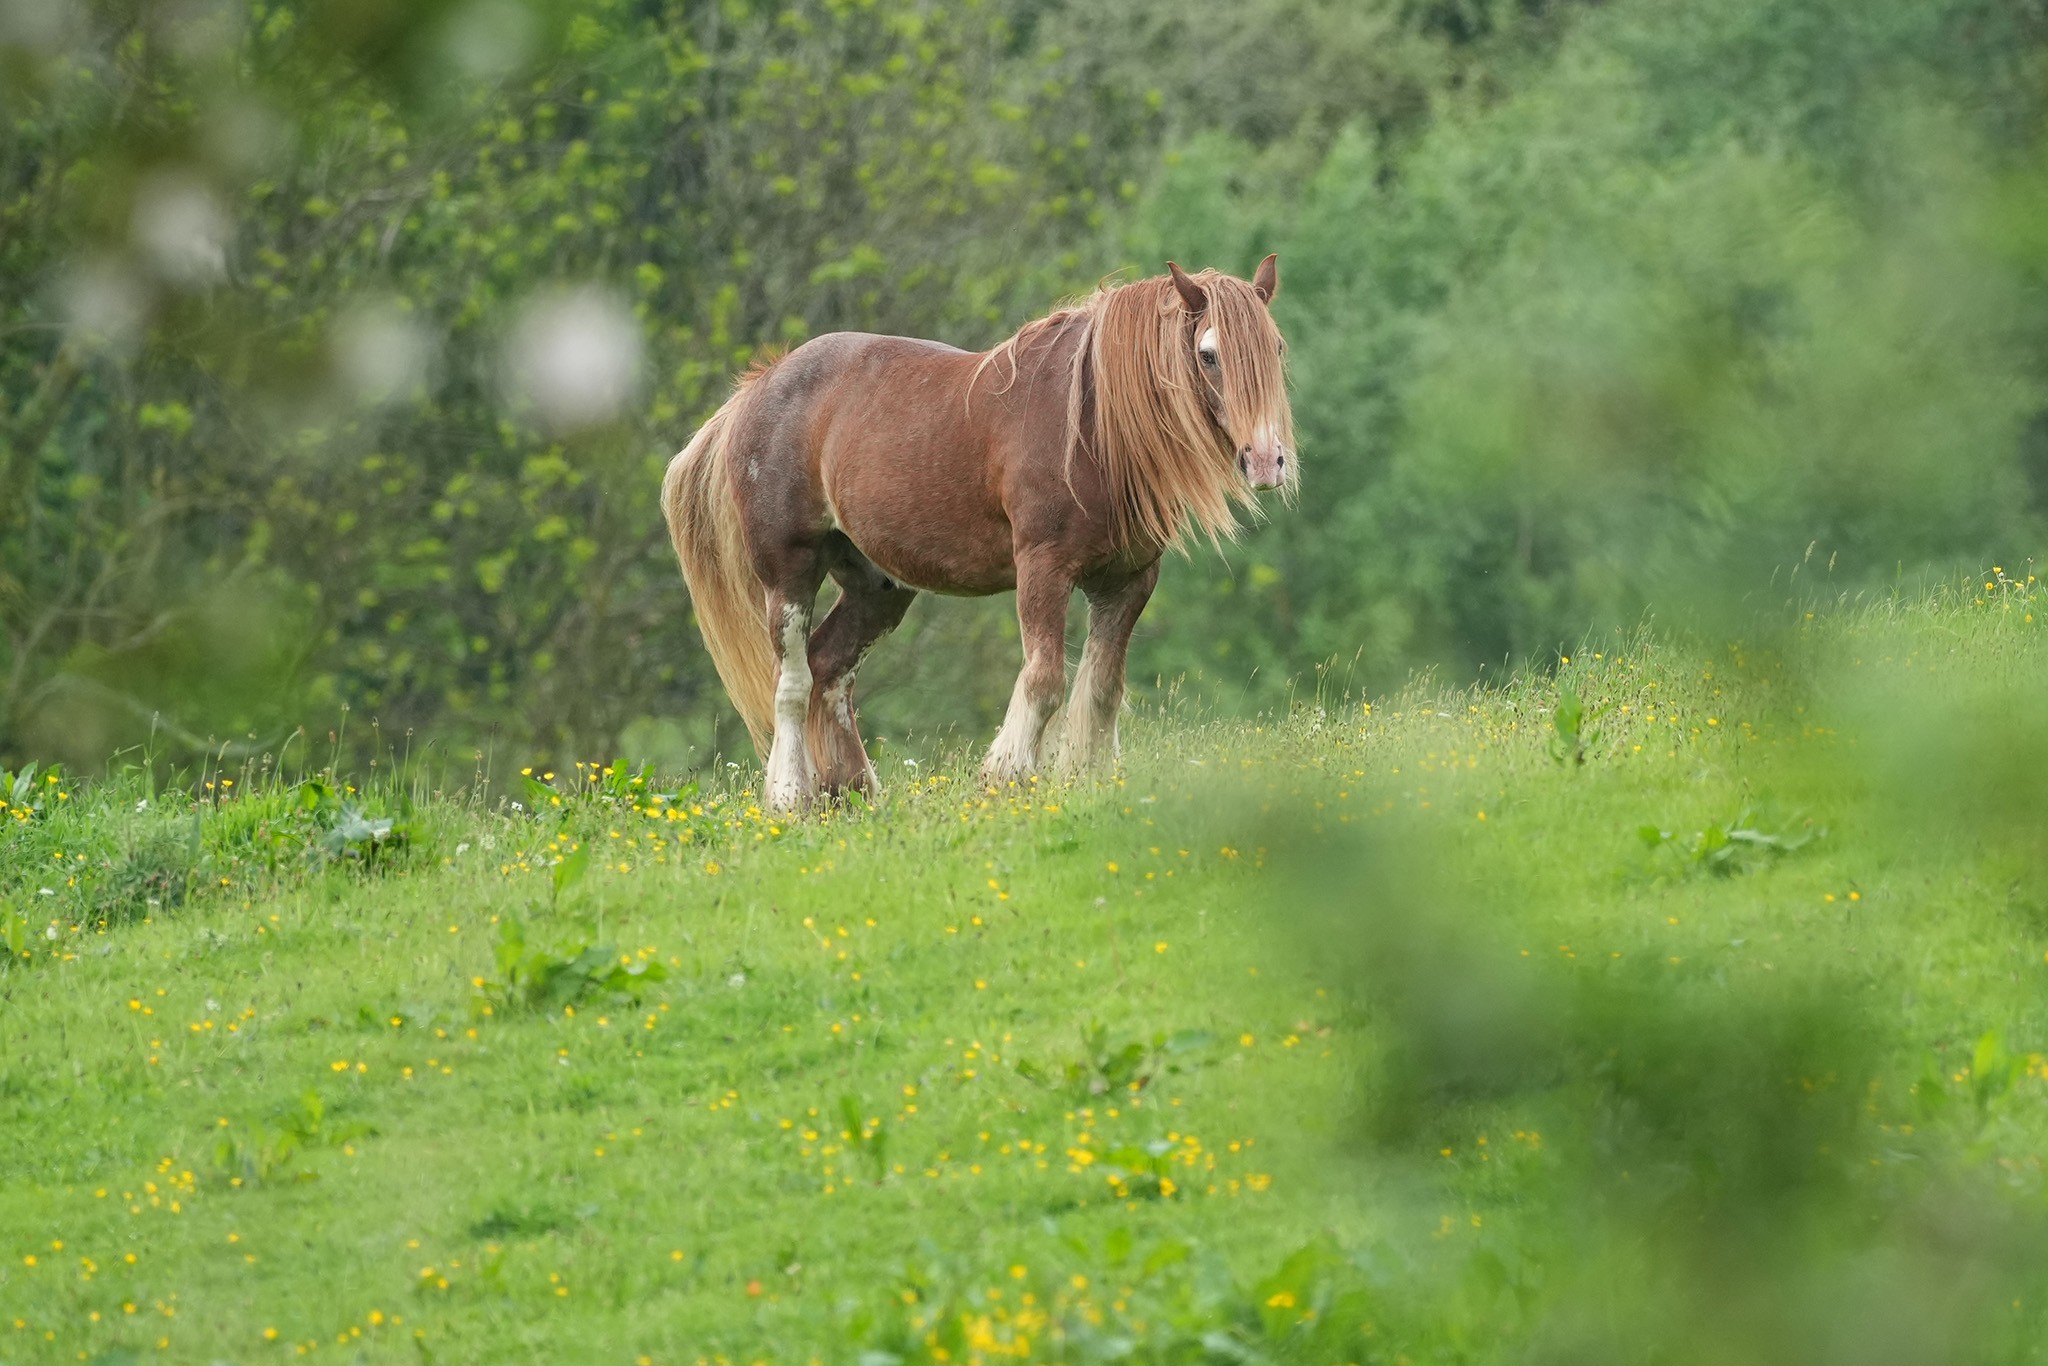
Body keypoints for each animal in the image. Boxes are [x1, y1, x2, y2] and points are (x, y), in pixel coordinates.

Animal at [655, 253, 1294, 810]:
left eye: (1276, 347)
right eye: (1208, 355)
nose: (1266, 461)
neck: (1091, 424)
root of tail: (756, 389)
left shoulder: (1128, 581)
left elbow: (1103, 688)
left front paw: (1089, 778)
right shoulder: (1044, 570)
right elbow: (1045, 680)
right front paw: (1005, 776)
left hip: (877, 587)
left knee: (828, 669)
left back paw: (853, 794)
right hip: (789, 571)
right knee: (790, 680)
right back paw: (791, 798)